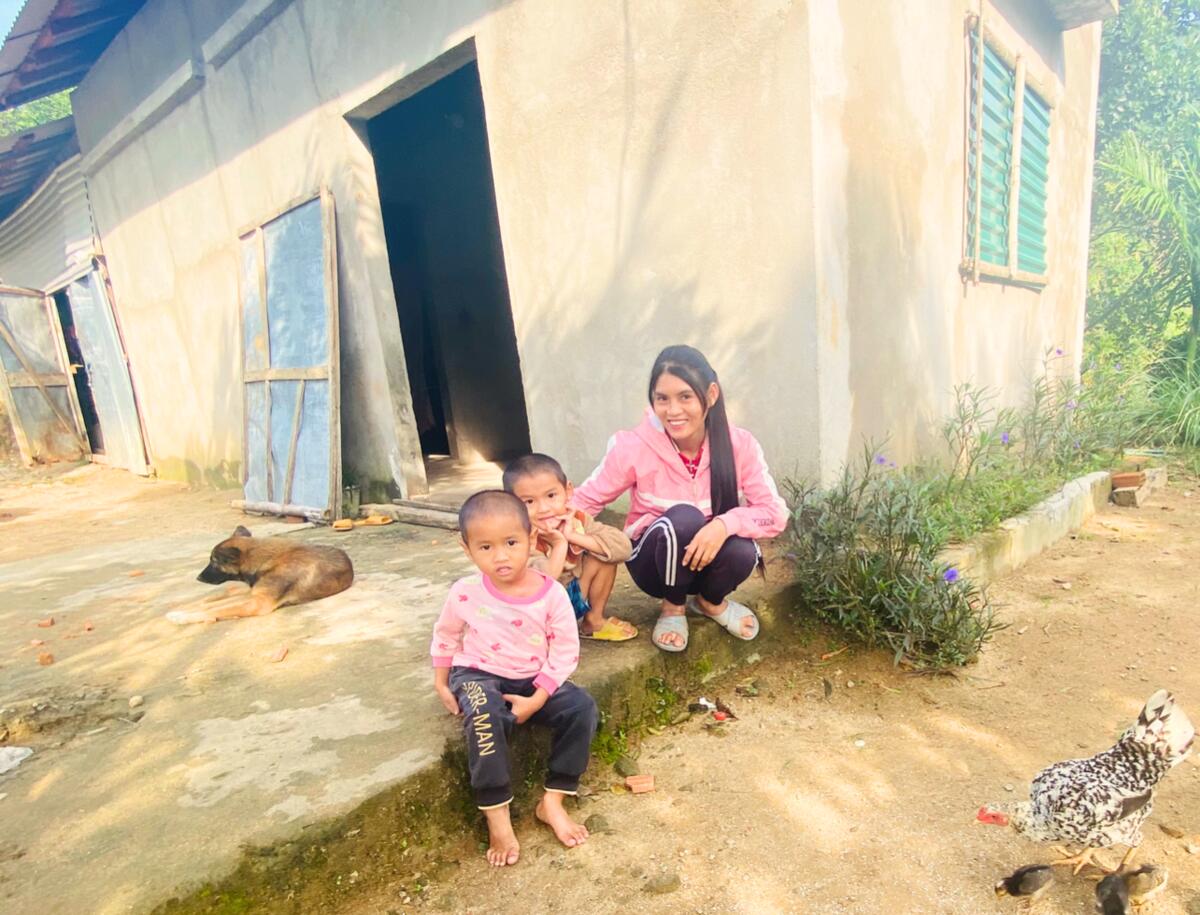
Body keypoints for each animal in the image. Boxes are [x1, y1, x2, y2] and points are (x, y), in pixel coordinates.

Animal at [169, 523, 355, 624]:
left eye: (214, 562)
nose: (198, 578)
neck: (267, 561)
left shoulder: (257, 602)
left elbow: (218, 608)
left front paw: (183, 617)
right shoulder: (253, 593)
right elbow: (216, 603)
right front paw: (184, 610)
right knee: (225, 592)